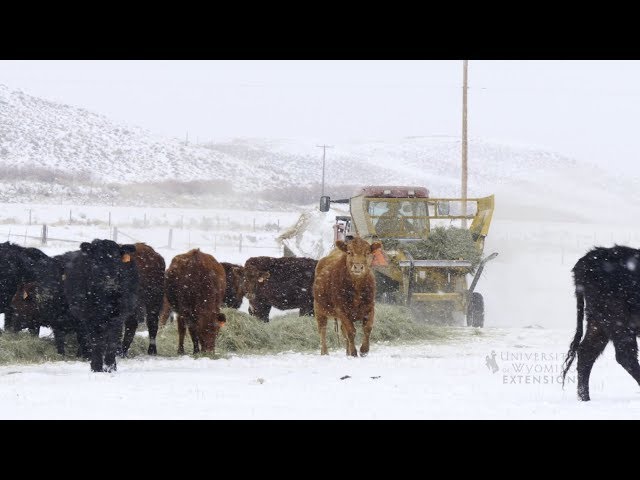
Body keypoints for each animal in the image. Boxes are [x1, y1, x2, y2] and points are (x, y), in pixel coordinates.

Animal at [63, 239, 138, 372]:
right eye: (98, 259)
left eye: (117, 258)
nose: (110, 280)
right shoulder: (90, 318)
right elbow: (96, 342)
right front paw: (96, 367)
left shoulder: (117, 317)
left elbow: (112, 342)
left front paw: (110, 367)